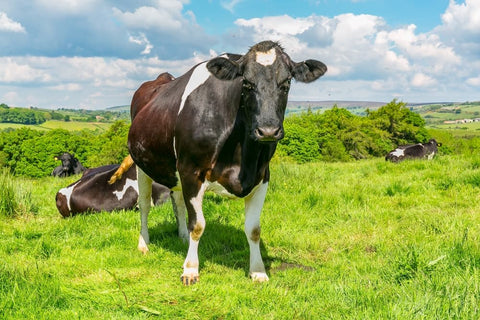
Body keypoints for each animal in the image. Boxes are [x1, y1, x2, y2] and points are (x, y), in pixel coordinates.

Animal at [116, 40, 326, 284]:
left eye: (287, 82)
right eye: (246, 83)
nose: (268, 130)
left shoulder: (262, 176)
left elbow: (254, 229)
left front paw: (258, 271)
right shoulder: (191, 171)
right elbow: (197, 224)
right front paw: (190, 269)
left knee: (178, 202)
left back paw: (182, 237)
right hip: (142, 165)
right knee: (145, 205)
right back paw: (144, 244)